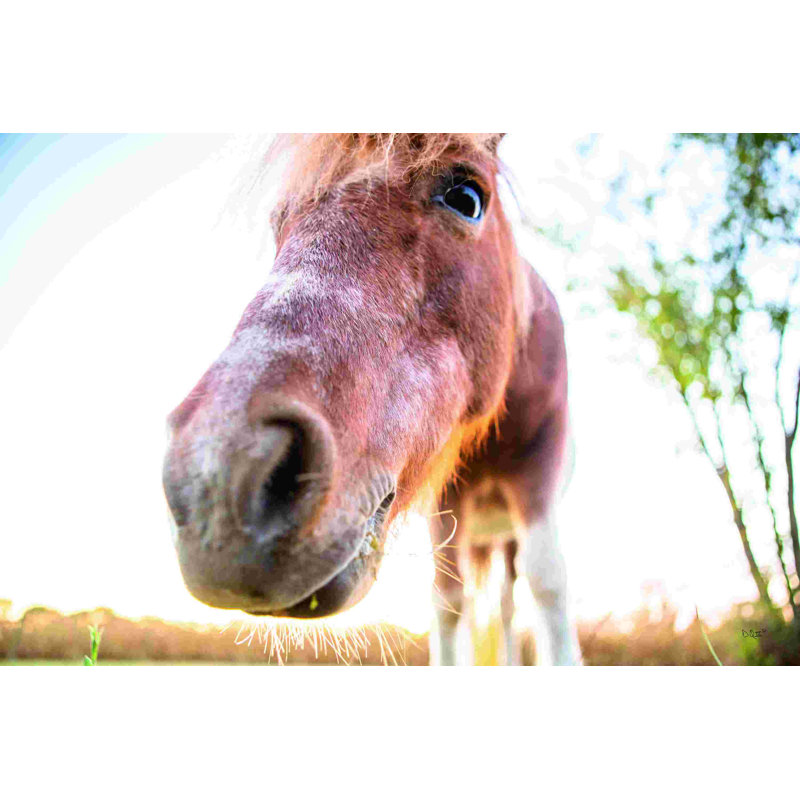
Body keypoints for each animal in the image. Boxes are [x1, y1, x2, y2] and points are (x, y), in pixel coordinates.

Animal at [162, 133, 582, 665]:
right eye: (281, 220)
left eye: (467, 198)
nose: (216, 481)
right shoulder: (445, 502)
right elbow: (448, 601)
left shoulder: (536, 474)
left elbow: (548, 585)